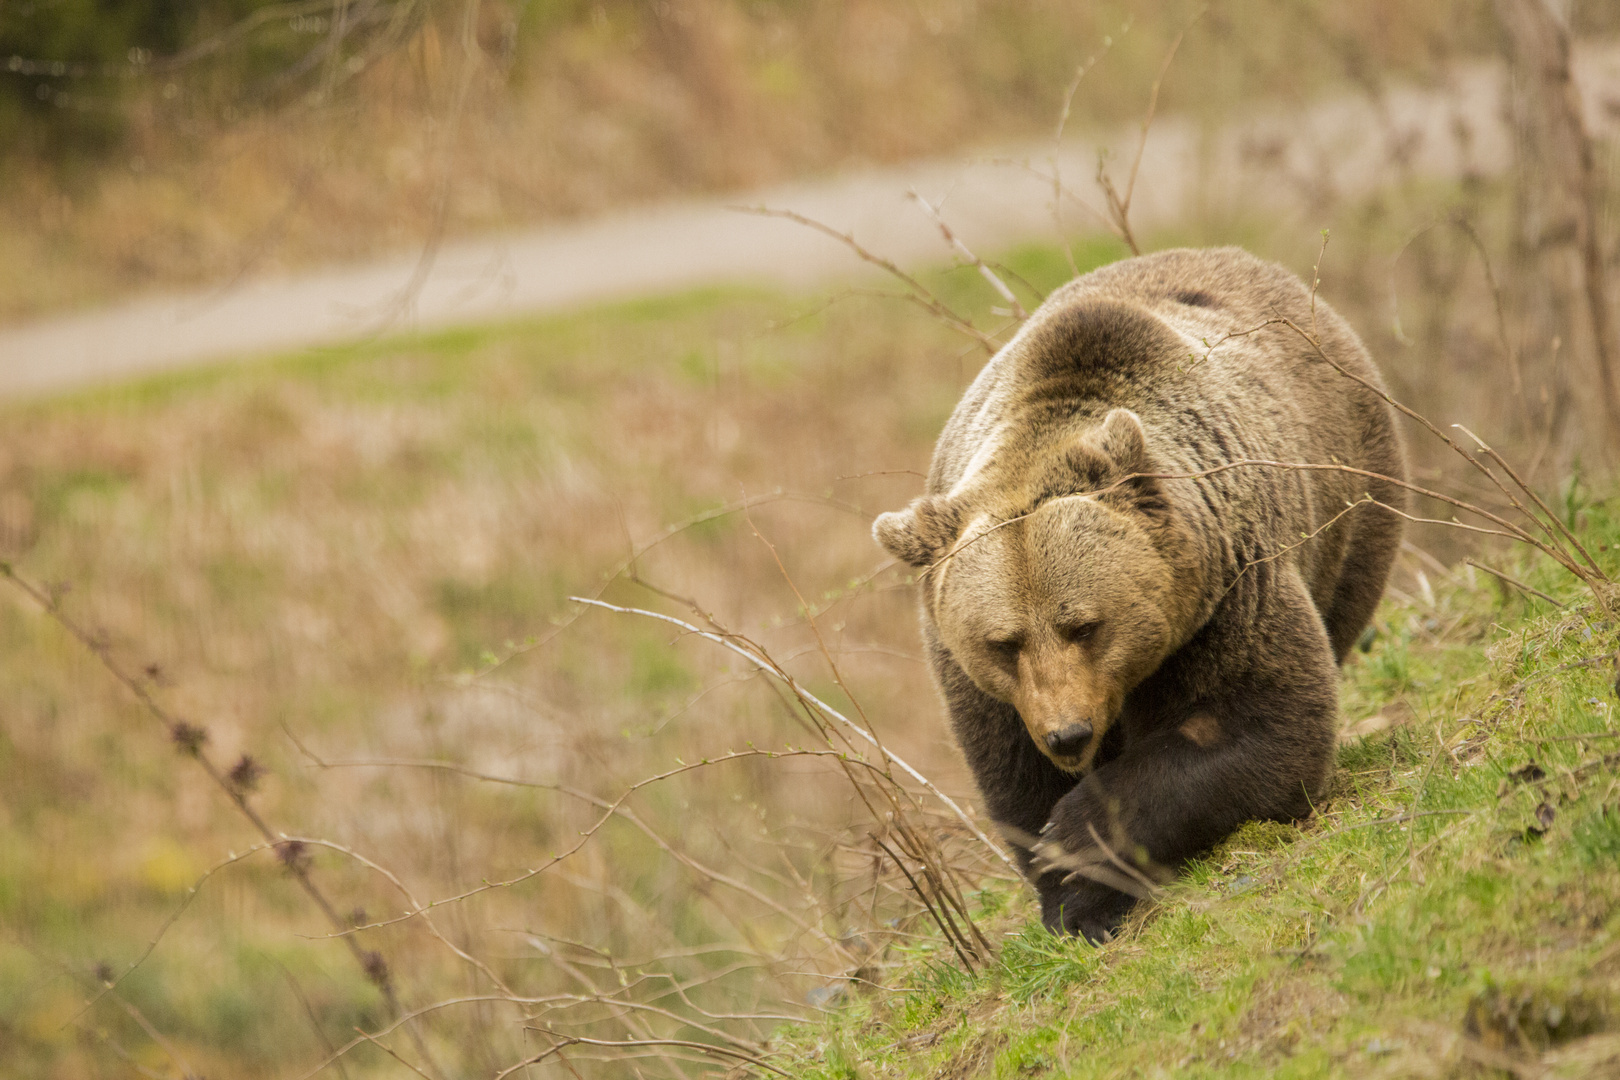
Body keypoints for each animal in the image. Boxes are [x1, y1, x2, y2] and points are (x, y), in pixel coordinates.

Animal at [874, 249, 1406, 939]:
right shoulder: (985, 690)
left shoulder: (1228, 595)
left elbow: (1263, 729)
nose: (1068, 734)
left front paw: (1080, 839)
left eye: (1084, 625)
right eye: (1004, 643)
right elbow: (1016, 781)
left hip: (1353, 502)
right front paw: (1076, 897)